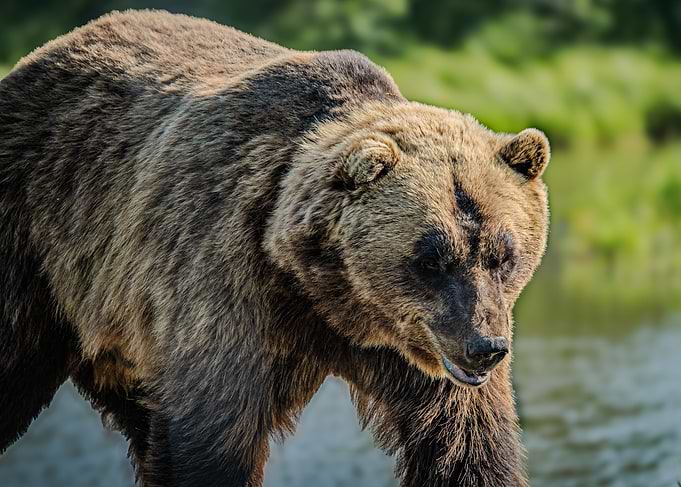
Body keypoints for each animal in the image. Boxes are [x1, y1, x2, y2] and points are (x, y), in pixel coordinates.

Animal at [0, 9, 550, 487]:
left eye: (503, 256)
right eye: (431, 258)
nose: (486, 348)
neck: (327, 297)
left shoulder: (421, 354)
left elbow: (466, 446)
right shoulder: (225, 280)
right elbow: (213, 434)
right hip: (37, 233)